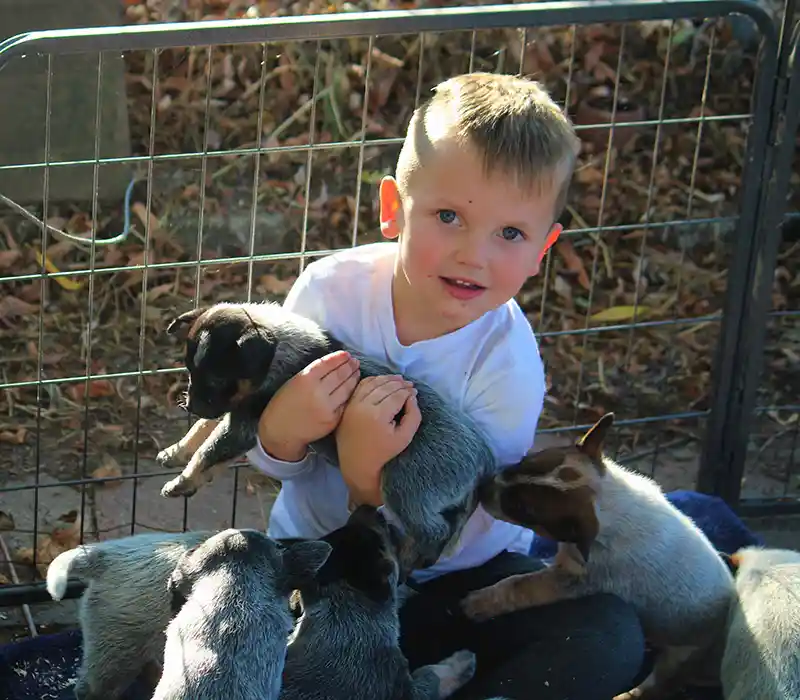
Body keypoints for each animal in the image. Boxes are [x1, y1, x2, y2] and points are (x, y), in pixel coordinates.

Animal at [155, 302, 500, 576]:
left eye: (217, 378)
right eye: (189, 370)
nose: (189, 405)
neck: (279, 347)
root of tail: (484, 461)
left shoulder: (243, 423)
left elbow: (209, 451)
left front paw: (182, 481)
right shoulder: (234, 409)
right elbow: (201, 430)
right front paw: (176, 451)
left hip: (406, 486)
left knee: (433, 530)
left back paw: (410, 558)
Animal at [460, 410, 736, 700]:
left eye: (521, 507)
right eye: (524, 461)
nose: (480, 487)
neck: (606, 501)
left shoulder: (575, 578)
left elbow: (518, 586)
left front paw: (477, 603)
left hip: (682, 657)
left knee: (657, 686)